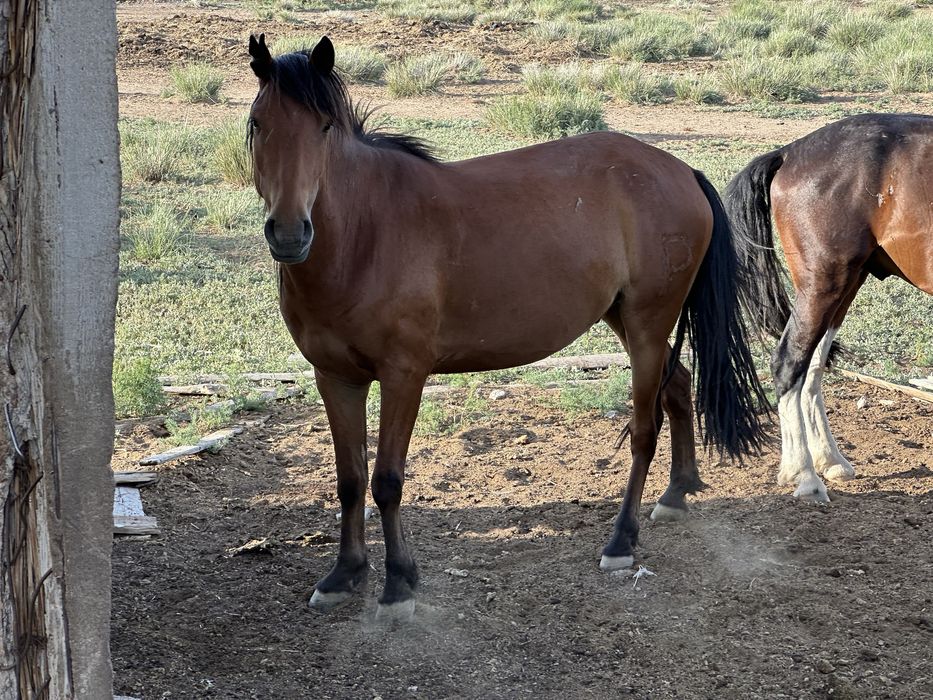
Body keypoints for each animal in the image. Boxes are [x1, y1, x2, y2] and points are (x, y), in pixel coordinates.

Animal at [247, 34, 769, 618]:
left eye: (324, 127)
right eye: (257, 124)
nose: (289, 233)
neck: (365, 234)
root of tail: (682, 172)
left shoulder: (404, 376)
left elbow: (386, 481)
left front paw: (398, 583)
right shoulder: (335, 378)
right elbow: (350, 480)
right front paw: (344, 573)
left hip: (648, 323)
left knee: (644, 428)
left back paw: (621, 541)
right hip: (628, 322)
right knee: (677, 387)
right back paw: (677, 492)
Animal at [726, 113, 933, 503]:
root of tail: (789, 153)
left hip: (844, 286)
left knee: (812, 367)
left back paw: (828, 460)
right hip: (823, 284)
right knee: (789, 363)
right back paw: (804, 475)